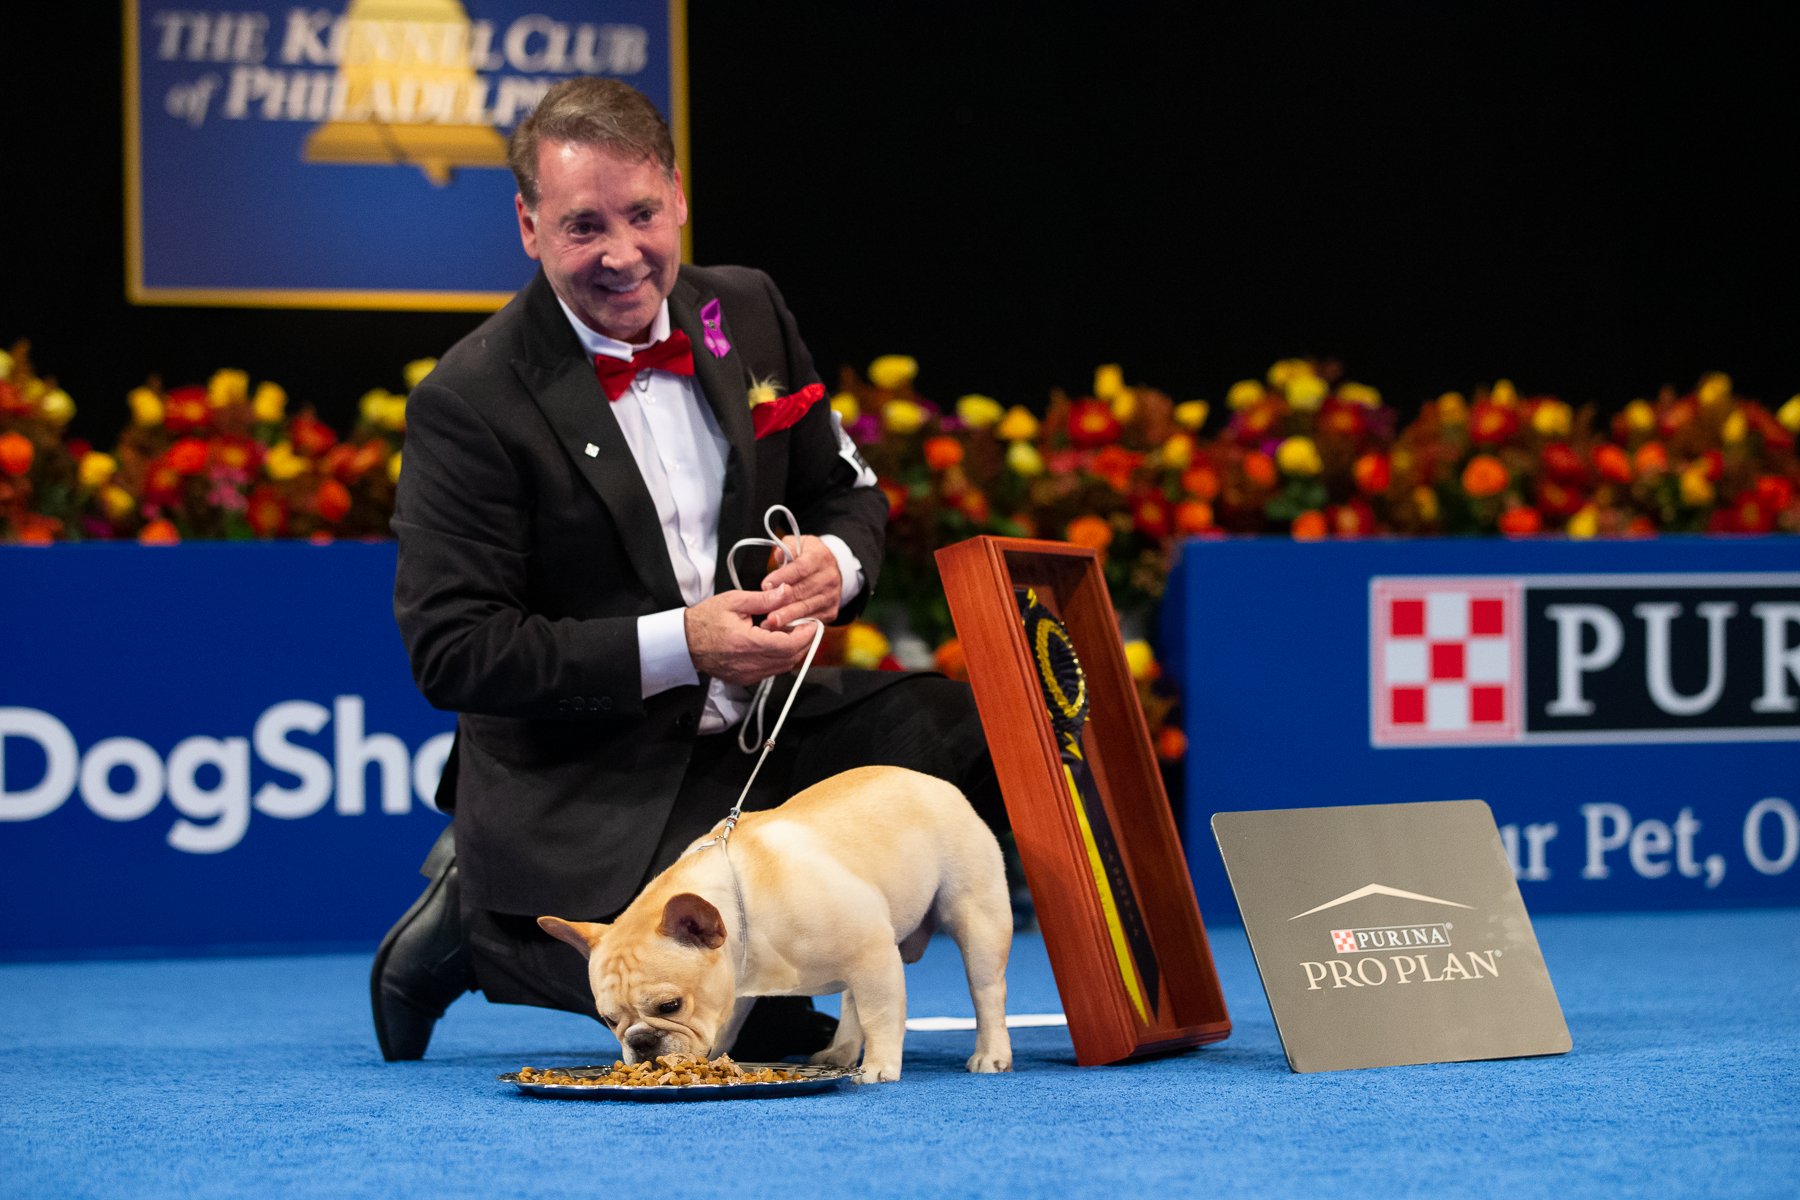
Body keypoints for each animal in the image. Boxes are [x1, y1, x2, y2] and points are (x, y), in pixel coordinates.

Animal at [532, 770, 1015, 1086]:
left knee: (985, 992)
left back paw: (991, 1053)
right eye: (609, 1019)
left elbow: (882, 1014)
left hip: (976, 916)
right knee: (850, 1003)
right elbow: (727, 1026)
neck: (743, 912)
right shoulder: (735, 989)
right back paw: (840, 1051)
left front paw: (880, 1067)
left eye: (670, 1006)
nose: (642, 1041)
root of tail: (935, 783)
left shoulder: (873, 954)